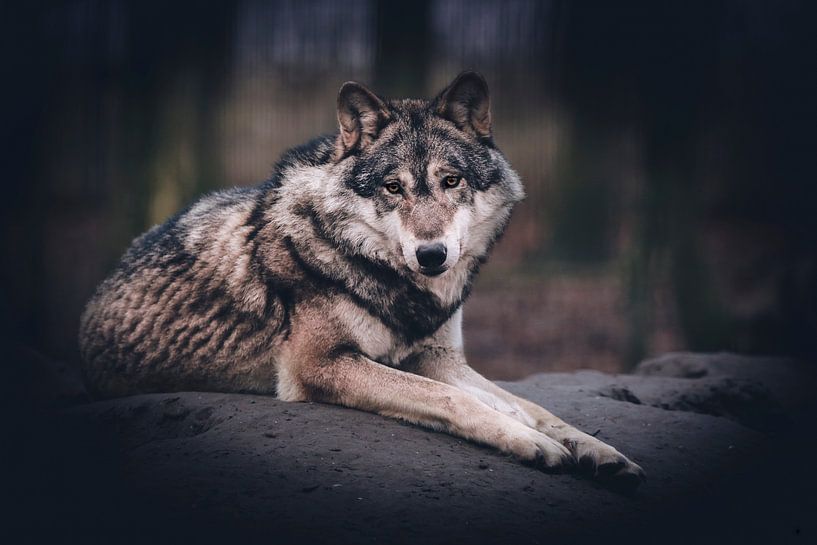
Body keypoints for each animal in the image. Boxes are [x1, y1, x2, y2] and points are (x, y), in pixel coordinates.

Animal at [80, 72, 645, 489]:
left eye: (451, 181)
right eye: (394, 187)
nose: (432, 254)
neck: (395, 283)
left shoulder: (437, 358)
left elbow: (534, 406)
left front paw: (596, 448)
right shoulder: (320, 364)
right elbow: (455, 400)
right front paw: (532, 442)